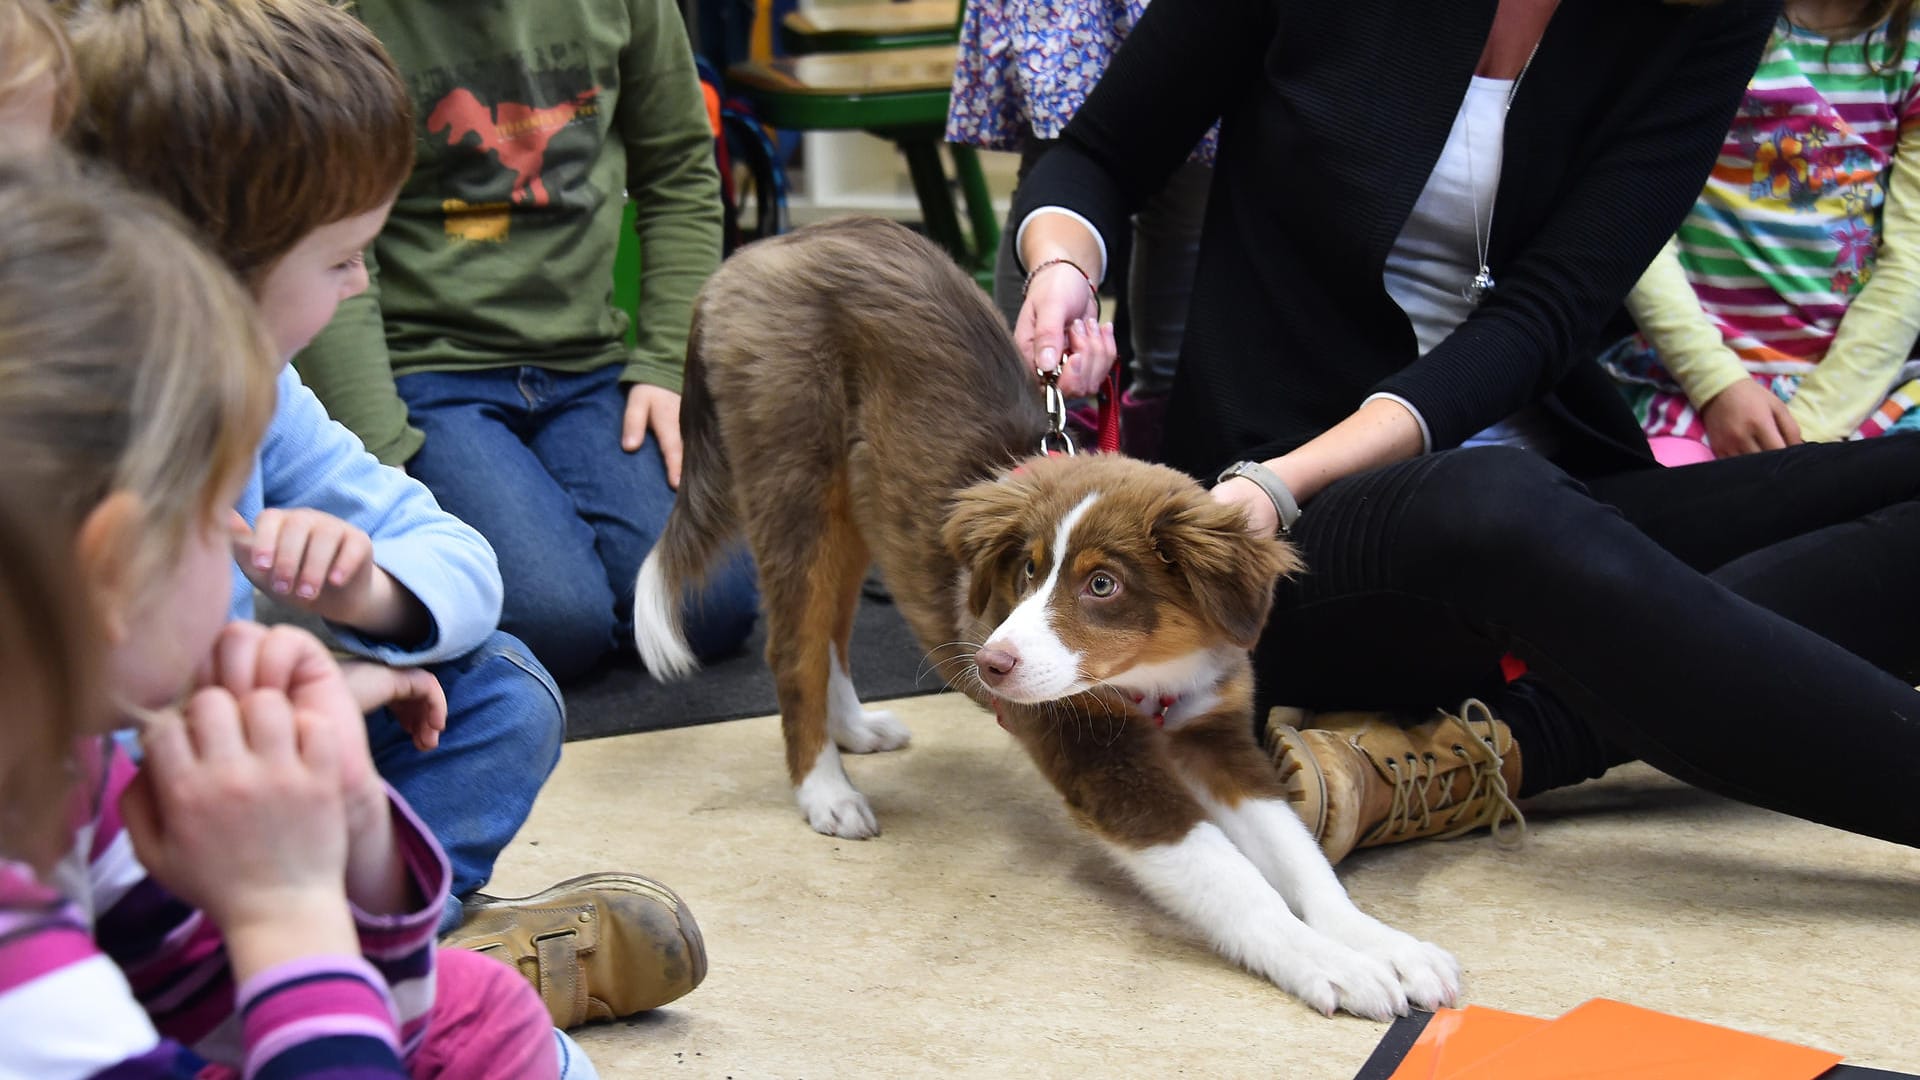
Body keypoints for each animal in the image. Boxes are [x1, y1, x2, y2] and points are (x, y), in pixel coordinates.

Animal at [629, 216, 1451, 1006]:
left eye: (1103, 585)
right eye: (1028, 569)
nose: (989, 666)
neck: (1153, 673)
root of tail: (756, 253)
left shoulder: (1217, 733)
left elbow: (1302, 859)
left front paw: (1384, 944)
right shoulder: (1099, 758)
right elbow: (1236, 880)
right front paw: (1331, 966)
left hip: (856, 507)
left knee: (830, 631)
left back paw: (855, 729)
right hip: (794, 483)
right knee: (793, 649)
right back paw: (826, 791)